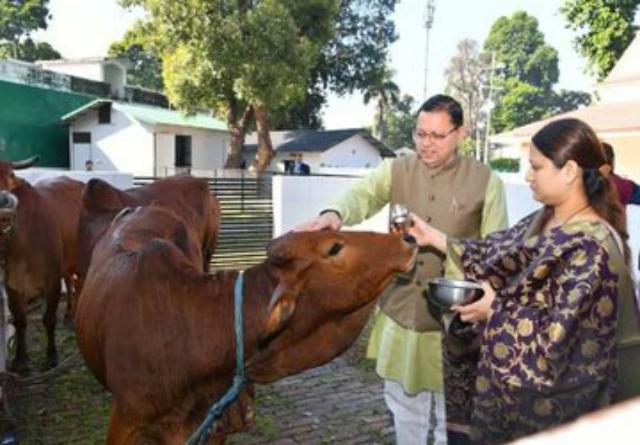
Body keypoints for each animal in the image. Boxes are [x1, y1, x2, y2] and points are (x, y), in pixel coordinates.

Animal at [0, 156, 84, 372]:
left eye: (10, 175)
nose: (4, 200)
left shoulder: (52, 281)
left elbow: (49, 319)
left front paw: (52, 357)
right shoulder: (12, 286)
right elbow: (20, 320)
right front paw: (20, 360)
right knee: (70, 283)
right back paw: (69, 315)